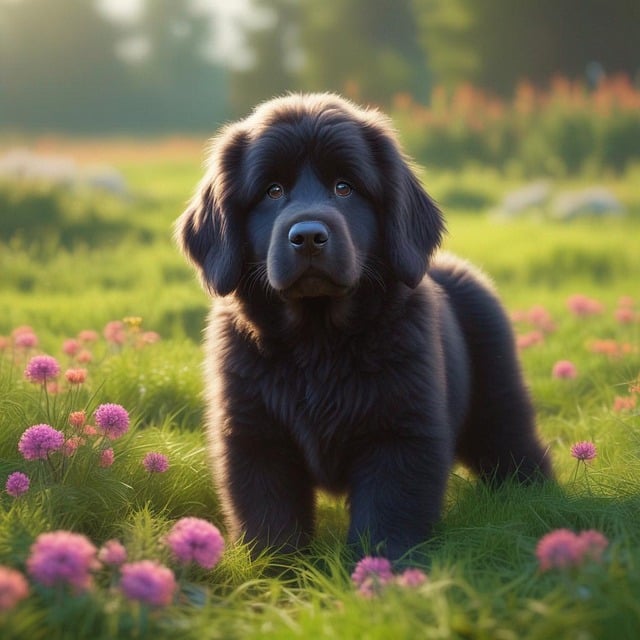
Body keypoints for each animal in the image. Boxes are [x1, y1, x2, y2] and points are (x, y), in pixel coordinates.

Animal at [175, 91, 552, 560]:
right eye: (273, 191)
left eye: (344, 187)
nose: (308, 237)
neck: (318, 342)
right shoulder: (254, 437)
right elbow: (271, 521)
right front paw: (275, 573)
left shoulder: (399, 435)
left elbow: (386, 518)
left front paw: (379, 571)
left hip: (497, 399)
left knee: (515, 447)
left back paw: (540, 501)